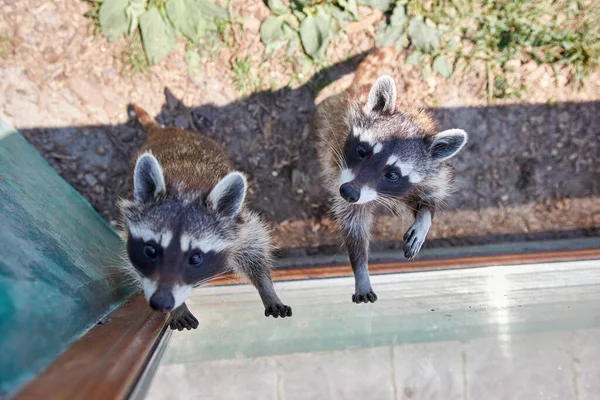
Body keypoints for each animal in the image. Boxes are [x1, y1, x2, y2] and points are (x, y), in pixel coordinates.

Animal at [118, 104, 292, 330]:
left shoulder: (238, 227)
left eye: (195, 257)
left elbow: (254, 251)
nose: (162, 302)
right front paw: (178, 308)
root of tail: (165, 131)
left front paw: (266, 287)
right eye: (150, 250)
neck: (186, 189)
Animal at [314, 47, 468, 304]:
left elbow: (428, 199)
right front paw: (361, 268)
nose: (348, 191)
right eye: (362, 150)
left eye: (393, 175)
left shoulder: (428, 176)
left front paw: (425, 217)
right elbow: (353, 222)